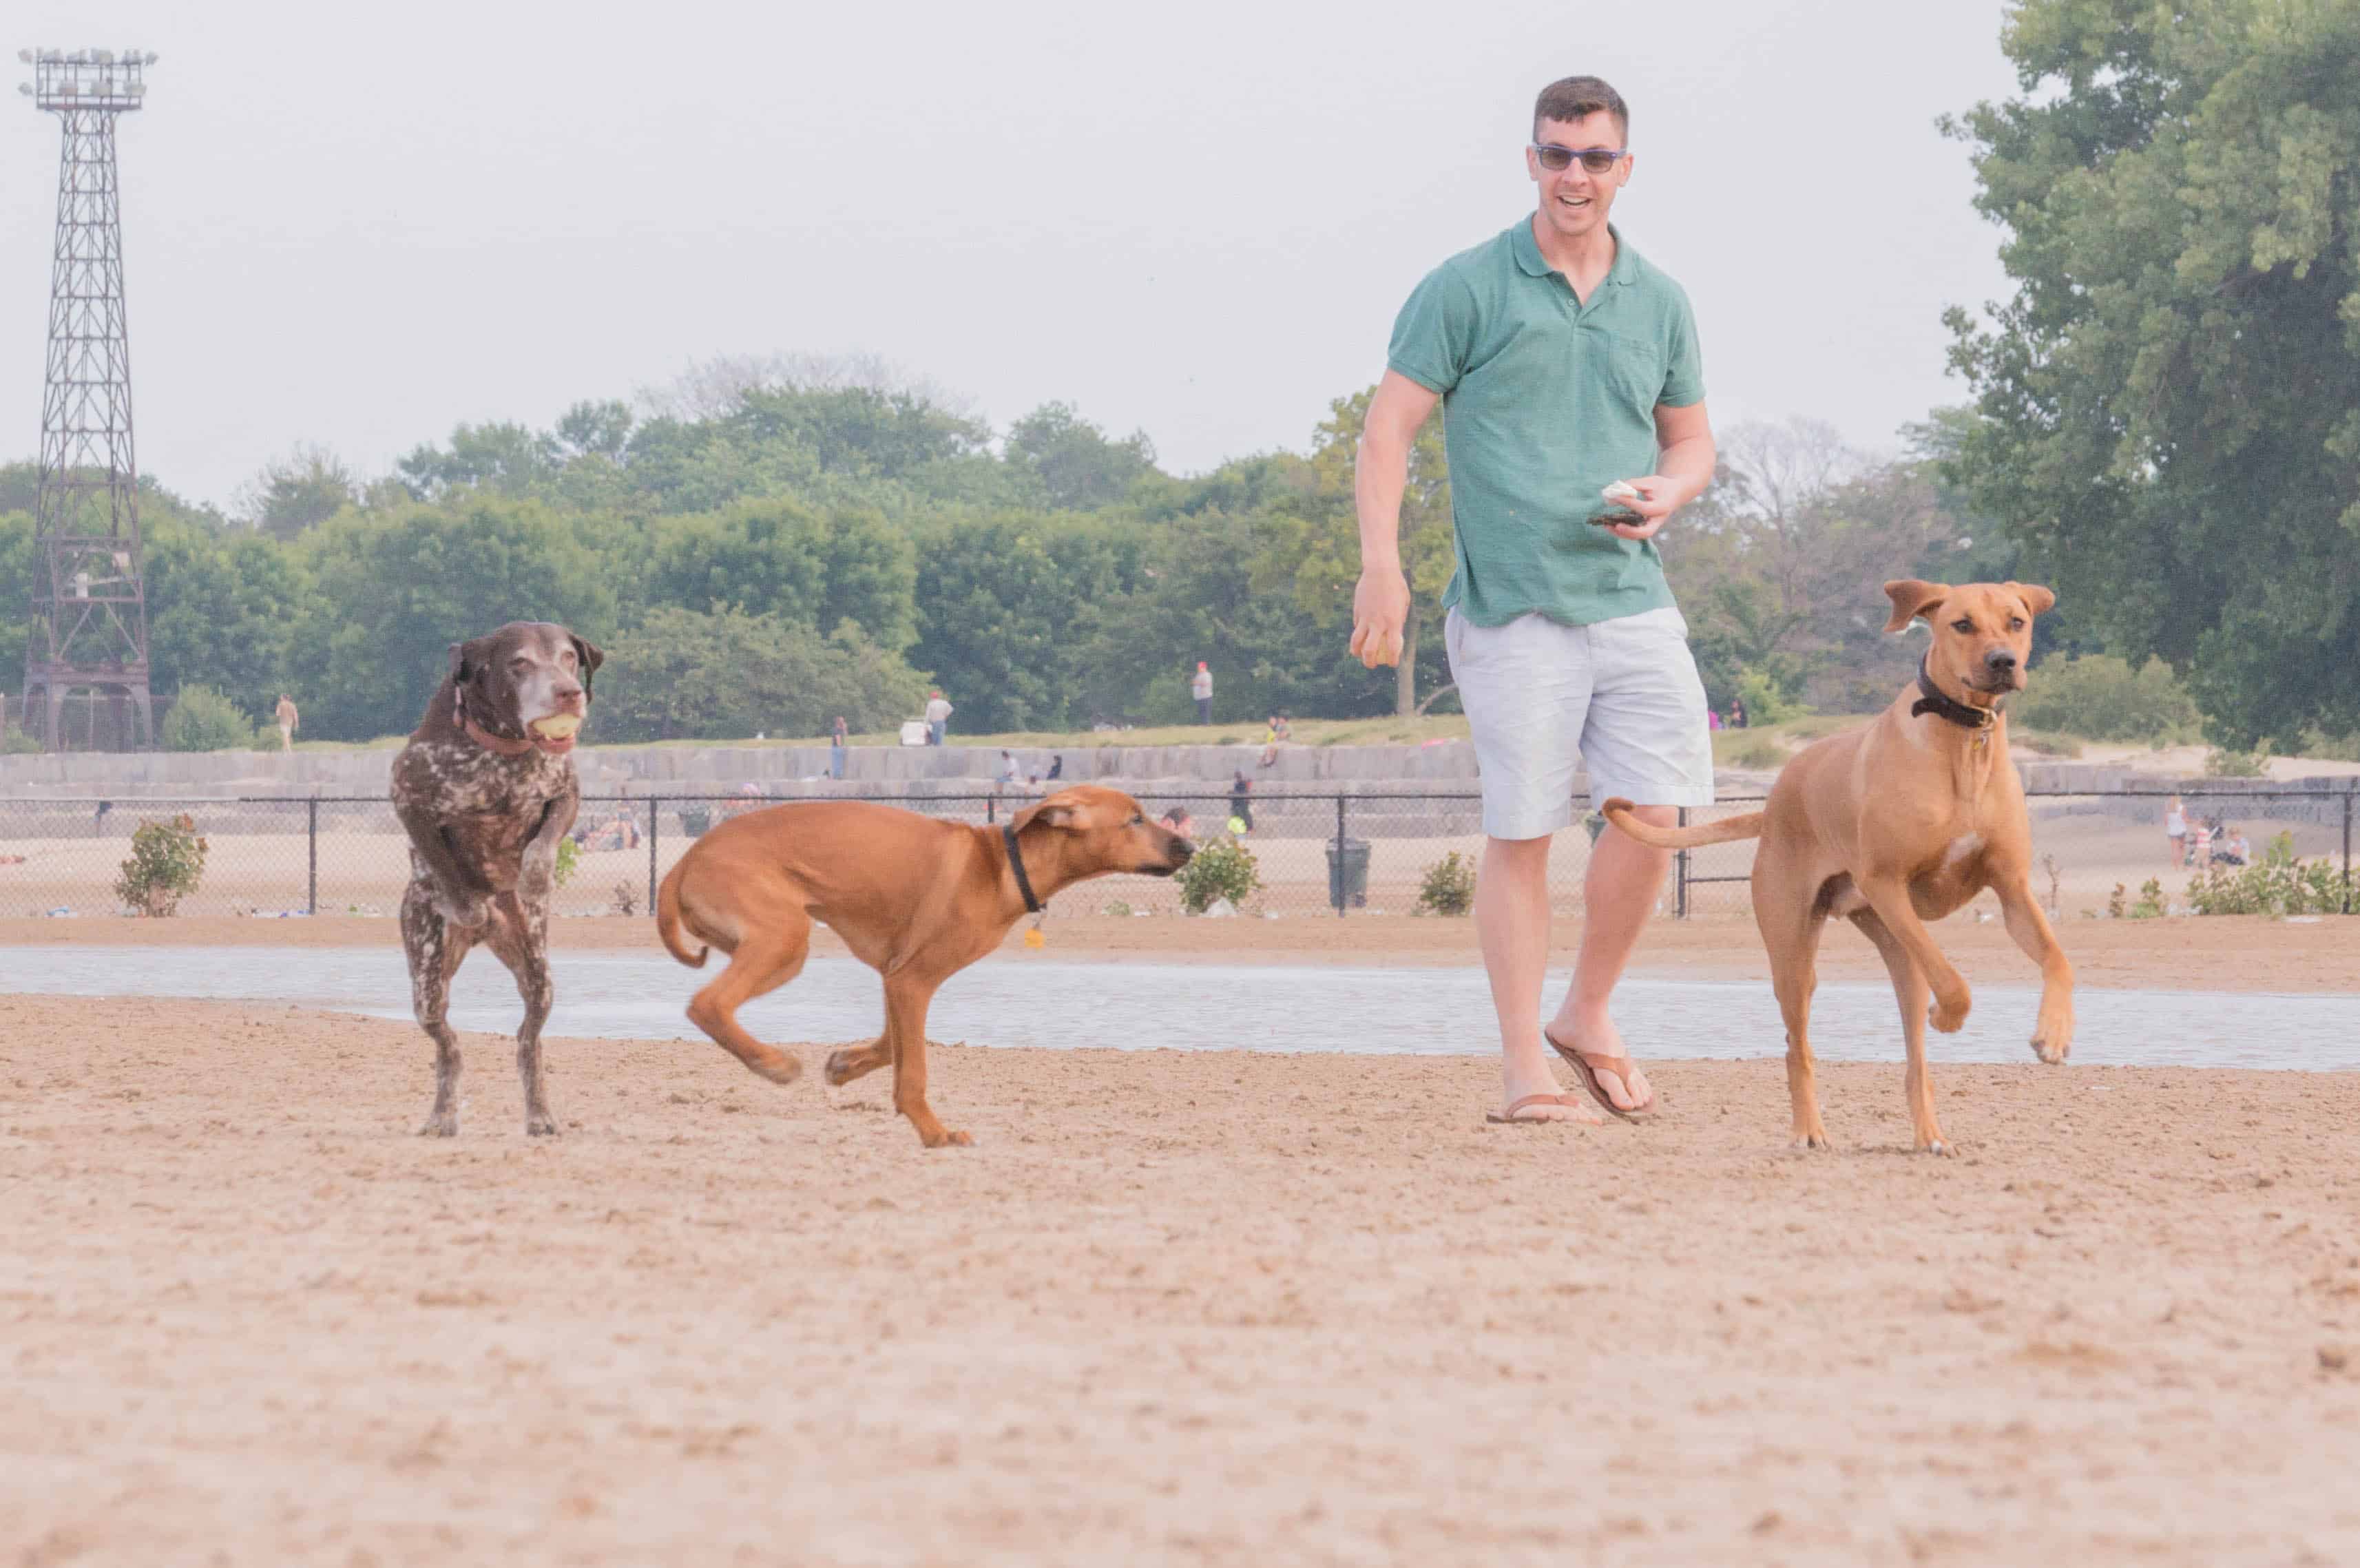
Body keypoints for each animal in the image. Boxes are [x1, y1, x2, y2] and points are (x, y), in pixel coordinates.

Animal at [391, 614, 604, 1138]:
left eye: (569, 658)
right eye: (519, 664)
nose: (569, 692)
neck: (503, 751)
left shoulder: (566, 793)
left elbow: (542, 847)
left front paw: (532, 881)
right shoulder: (408, 799)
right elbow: (443, 866)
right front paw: (467, 904)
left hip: (539, 975)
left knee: (528, 1041)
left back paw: (540, 1113)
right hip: (428, 984)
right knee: (449, 1048)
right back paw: (442, 1115)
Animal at [656, 788, 1189, 1147]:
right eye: (1134, 819)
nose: (1189, 848)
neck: (1003, 866)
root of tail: (685, 861)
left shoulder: (896, 976)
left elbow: (893, 1044)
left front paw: (845, 1065)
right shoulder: (913, 979)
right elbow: (913, 1070)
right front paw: (935, 1133)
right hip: (783, 941)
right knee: (707, 1004)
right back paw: (771, 1062)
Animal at [1605, 581, 2086, 1157]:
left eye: (2016, 621)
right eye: (1962, 624)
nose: (2002, 661)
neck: (1961, 738)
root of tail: (1772, 804)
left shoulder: (2010, 887)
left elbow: (2058, 958)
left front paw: (2053, 1034)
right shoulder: (1886, 882)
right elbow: (1955, 985)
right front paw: (1949, 1016)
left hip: (1897, 954)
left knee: (1914, 1055)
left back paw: (1929, 1134)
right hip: (1795, 952)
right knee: (1798, 1046)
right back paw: (1809, 1129)